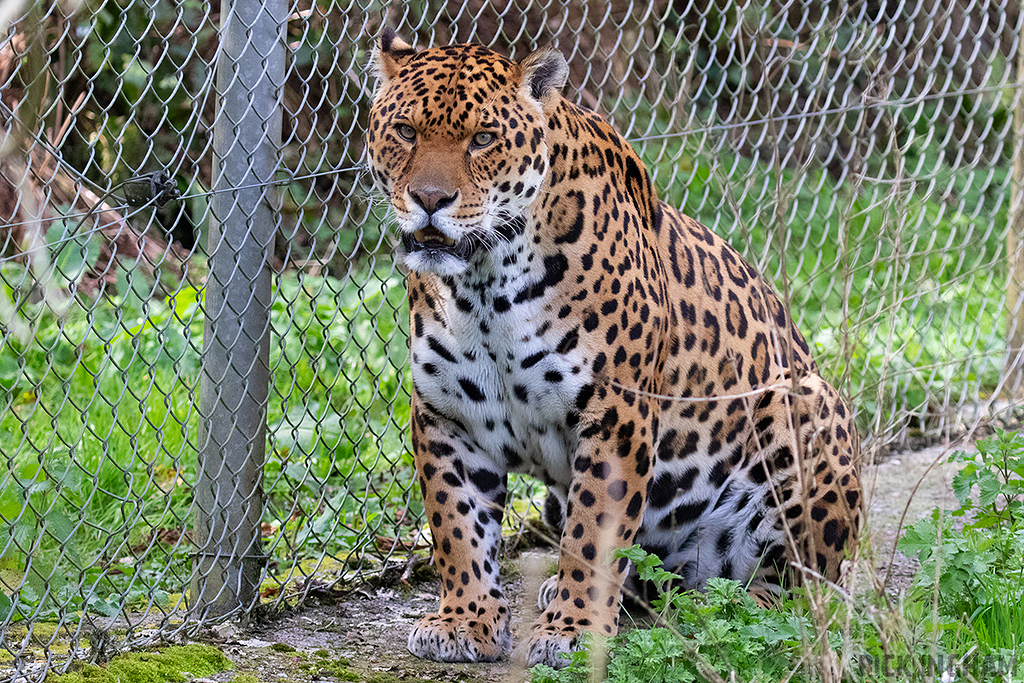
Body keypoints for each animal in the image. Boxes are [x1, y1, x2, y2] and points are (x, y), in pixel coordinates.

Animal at [365, 29, 862, 670]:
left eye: (482, 139)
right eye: (405, 131)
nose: (429, 199)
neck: (484, 284)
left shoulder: (615, 416)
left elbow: (592, 533)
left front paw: (571, 631)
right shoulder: (446, 416)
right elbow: (457, 528)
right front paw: (464, 621)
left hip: (808, 412)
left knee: (801, 589)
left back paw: (744, 610)